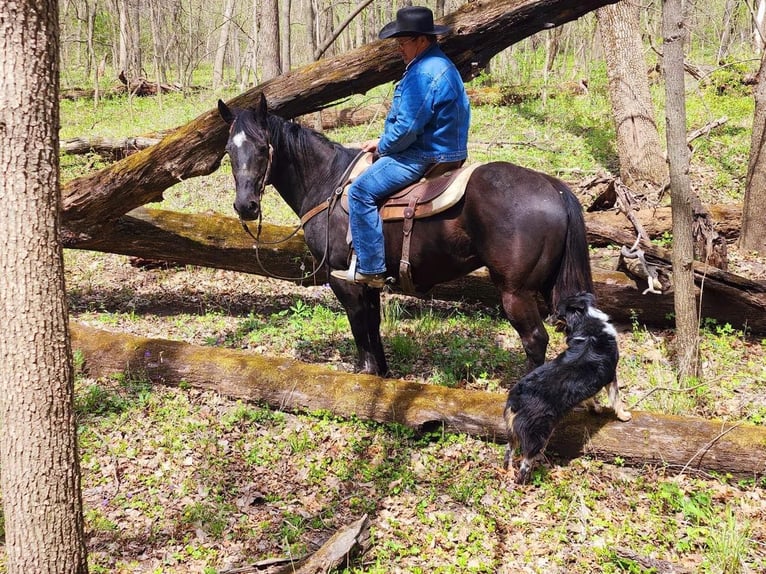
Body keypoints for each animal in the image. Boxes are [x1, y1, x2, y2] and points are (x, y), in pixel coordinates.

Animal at [219, 94, 596, 378]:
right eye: (228, 150)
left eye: (262, 147)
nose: (245, 206)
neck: (328, 183)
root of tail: (554, 187)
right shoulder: (368, 281)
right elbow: (372, 325)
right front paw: (383, 373)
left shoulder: (343, 279)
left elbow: (359, 328)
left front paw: (365, 373)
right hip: (550, 287)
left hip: (516, 292)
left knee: (534, 339)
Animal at [504, 292, 632, 486]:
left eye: (557, 312)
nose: (546, 319)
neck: (586, 322)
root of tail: (516, 398)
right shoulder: (611, 376)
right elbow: (616, 399)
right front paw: (623, 416)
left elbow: (590, 398)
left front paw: (595, 409)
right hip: (539, 433)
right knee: (525, 463)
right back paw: (529, 479)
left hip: (512, 432)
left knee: (508, 452)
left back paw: (508, 472)